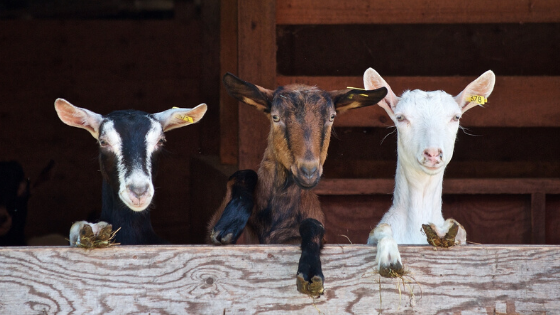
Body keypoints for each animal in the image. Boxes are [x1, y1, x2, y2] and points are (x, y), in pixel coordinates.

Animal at [208, 73, 388, 298]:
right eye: (275, 117)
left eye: (332, 117)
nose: (308, 171)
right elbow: (243, 174)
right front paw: (228, 225)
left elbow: (313, 225)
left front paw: (311, 273)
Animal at [366, 68, 496, 276]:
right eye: (400, 117)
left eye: (456, 117)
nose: (433, 153)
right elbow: (381, 228)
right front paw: (389, 258)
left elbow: (460, 231)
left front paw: (443, 231)